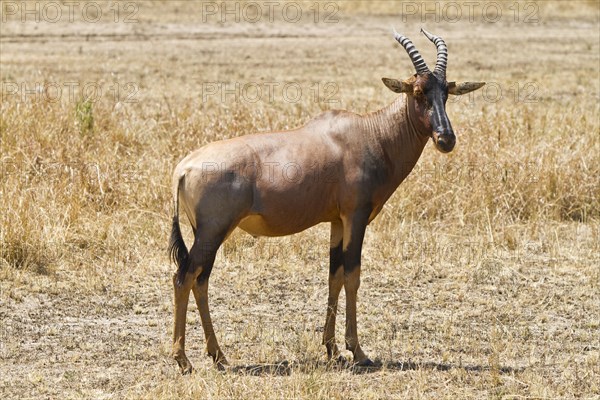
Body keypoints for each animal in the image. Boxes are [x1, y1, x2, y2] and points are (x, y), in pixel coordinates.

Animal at [168, 28, 482, 376]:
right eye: (417, 92)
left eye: (446, 92)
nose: (446, 139)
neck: (369, 133)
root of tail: (184, 167)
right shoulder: (356, 216)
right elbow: (353, 276)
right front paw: (358, 351)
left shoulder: (336, 221)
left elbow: (334, 276)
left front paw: (331, 349)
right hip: (213, 231)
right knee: (184, 277)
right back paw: (183, 360)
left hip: (207, 233)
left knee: (200, 280)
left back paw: (219, 357)